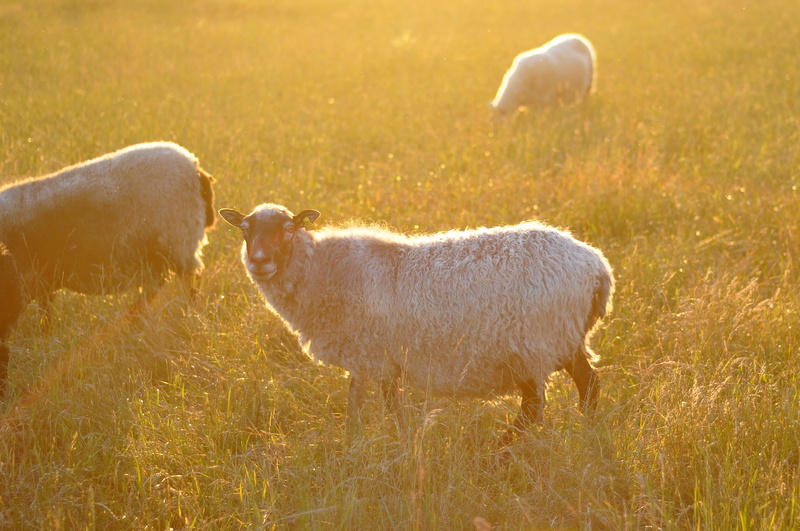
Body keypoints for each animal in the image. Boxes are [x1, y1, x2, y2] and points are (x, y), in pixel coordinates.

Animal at [219, 204, 614, 432]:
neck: (323, 272)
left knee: (537, 405)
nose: (259, 262)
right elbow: (363, 406)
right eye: (245, 230)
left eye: (288, 229)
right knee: (587, 385)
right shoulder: (374, 360)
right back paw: (588, 433)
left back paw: (505, 451)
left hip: (536, 342)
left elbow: (384, 408)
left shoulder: (375, 355)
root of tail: (596, 265)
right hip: (565, 339)